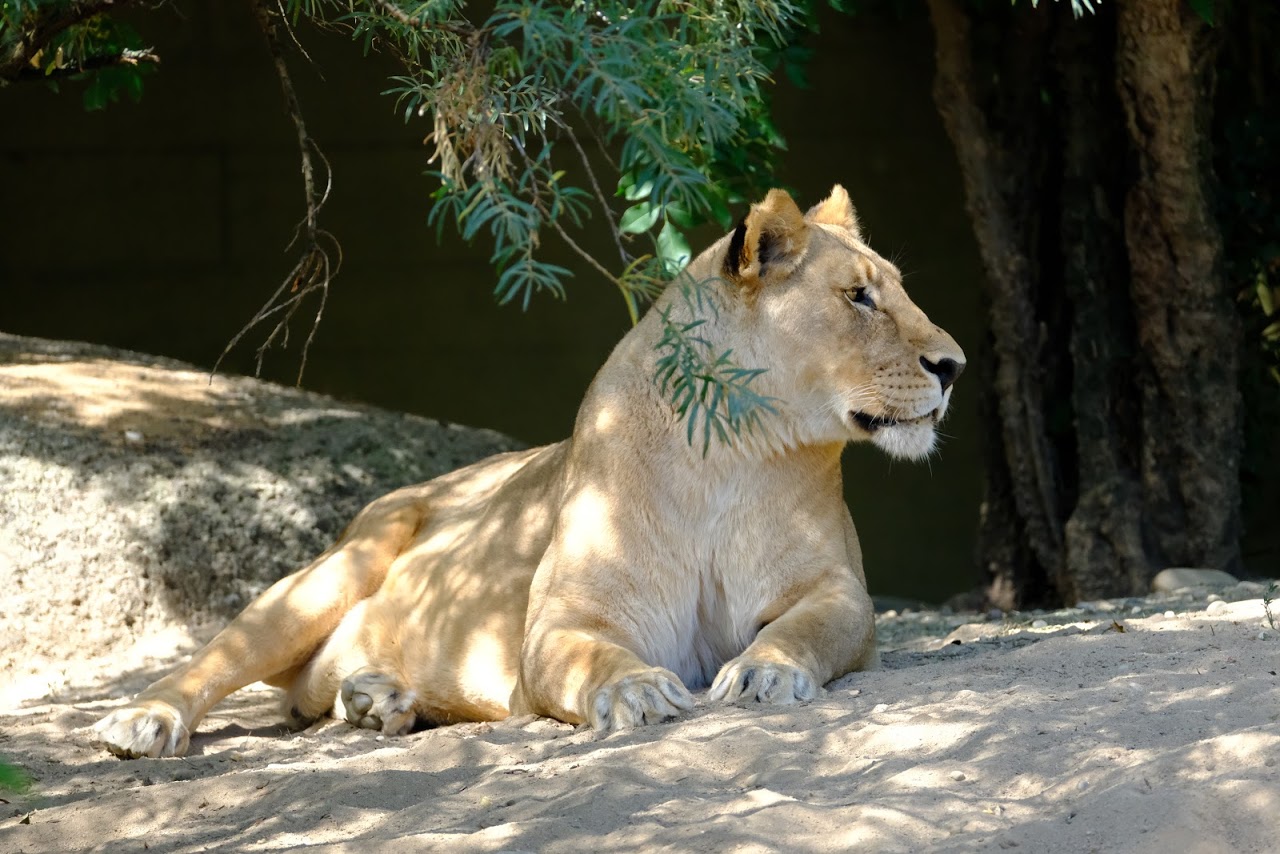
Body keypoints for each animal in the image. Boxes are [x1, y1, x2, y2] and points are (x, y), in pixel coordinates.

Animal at [90, 185, 965, 758]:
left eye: (897, 290)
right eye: (859, 297)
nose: (954, 365)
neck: (732, 453)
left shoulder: (836, 591)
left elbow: (803, 628)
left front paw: (763, 673)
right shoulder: (563, 620)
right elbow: (591, 658)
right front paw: (637, 692)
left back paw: (379, 700)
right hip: (331, 570)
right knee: (216, 659)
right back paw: (144, 722)